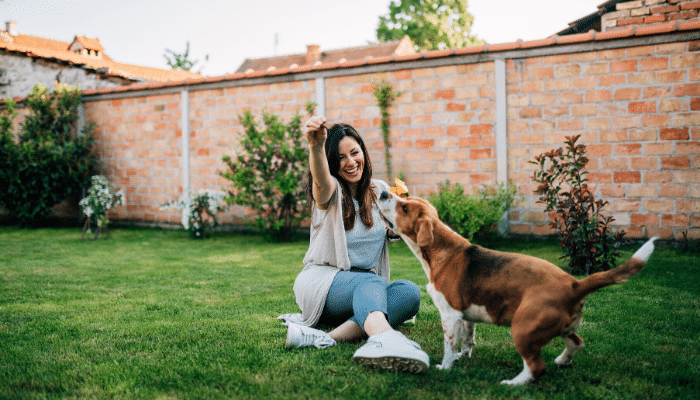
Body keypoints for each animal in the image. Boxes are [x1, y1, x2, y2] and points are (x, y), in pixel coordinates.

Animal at [378, 191, 656, 384]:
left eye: (404, 206)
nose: (381, 193)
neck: (441, 250)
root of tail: (575, 284)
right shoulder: (466, 316)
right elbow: (466, 341)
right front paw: (462, 357)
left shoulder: (450, 314)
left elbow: (450, 345)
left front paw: (446, 367)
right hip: (562, 327)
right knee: (576, 342)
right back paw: (562, 361)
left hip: (522, 329)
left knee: (536, 367)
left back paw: (513, 384)